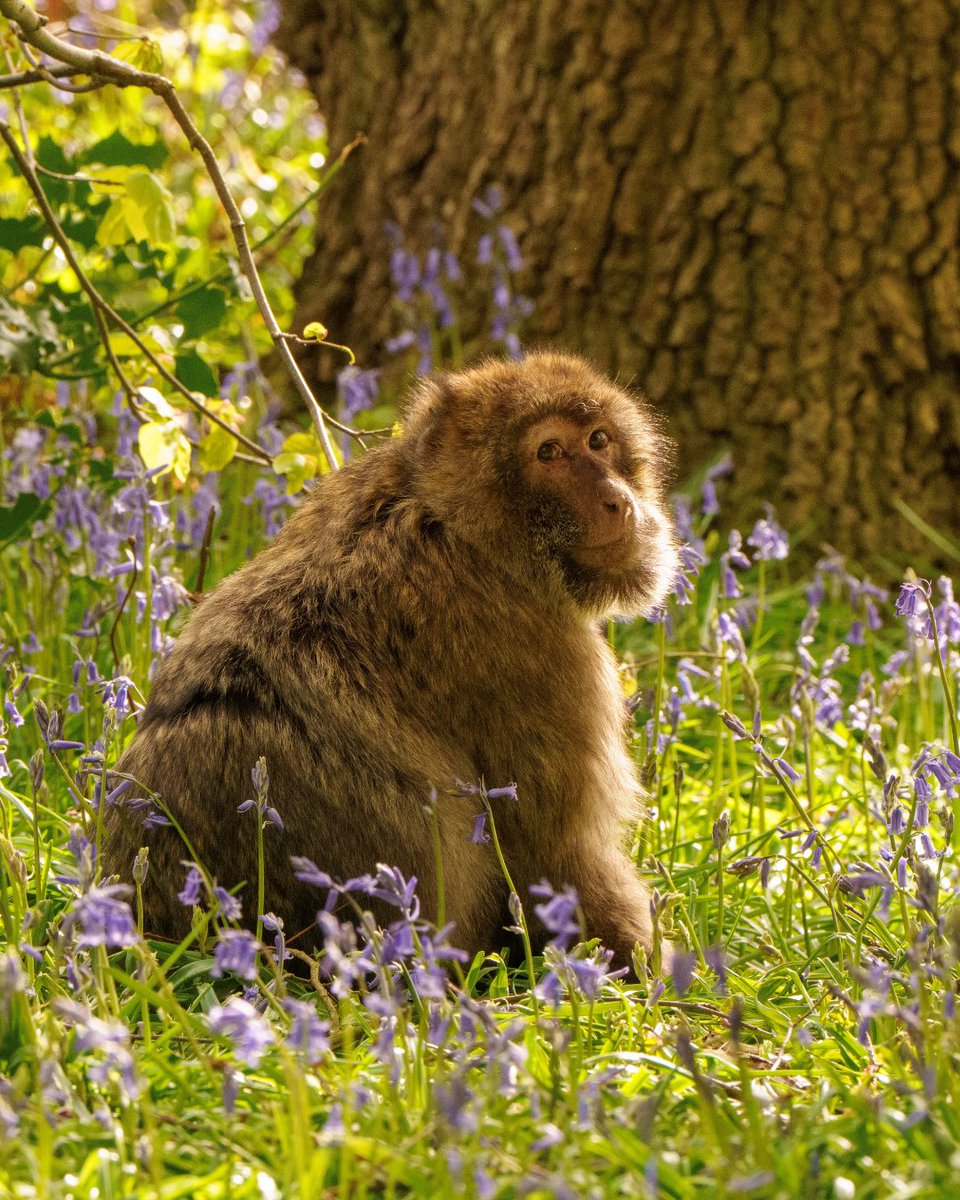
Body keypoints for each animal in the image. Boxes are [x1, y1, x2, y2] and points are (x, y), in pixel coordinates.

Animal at [102, 352, 679, 971]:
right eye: (548, 452)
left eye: (598, 440)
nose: (618, 498)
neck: (454, 524)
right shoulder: (538, 651)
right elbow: (558, 858)